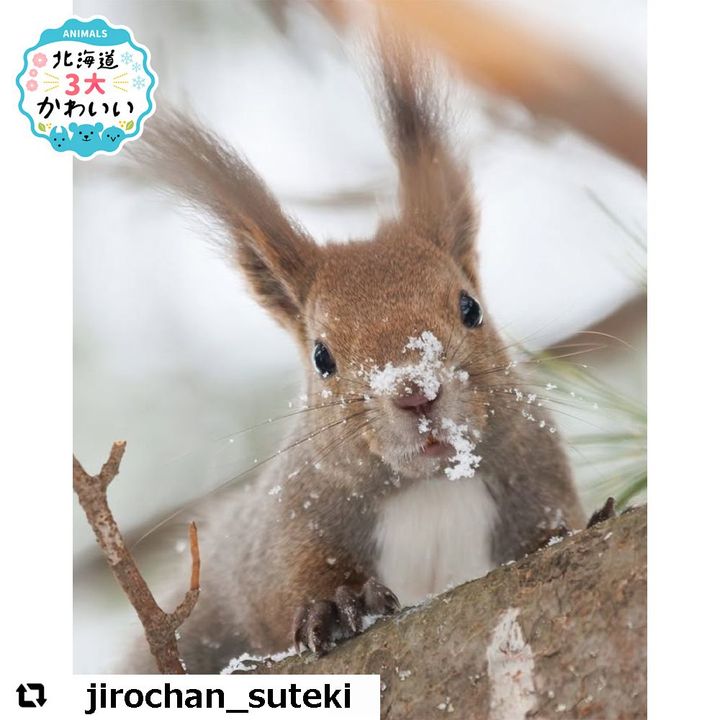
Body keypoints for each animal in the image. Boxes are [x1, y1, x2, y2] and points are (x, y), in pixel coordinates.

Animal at [124, 35, 585, 674]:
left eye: (470, 308)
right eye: (322, 357)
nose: (415, 392)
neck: (429, 488)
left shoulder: (536, 472)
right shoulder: (284, 530)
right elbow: (287, 591)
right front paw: (337, 604)